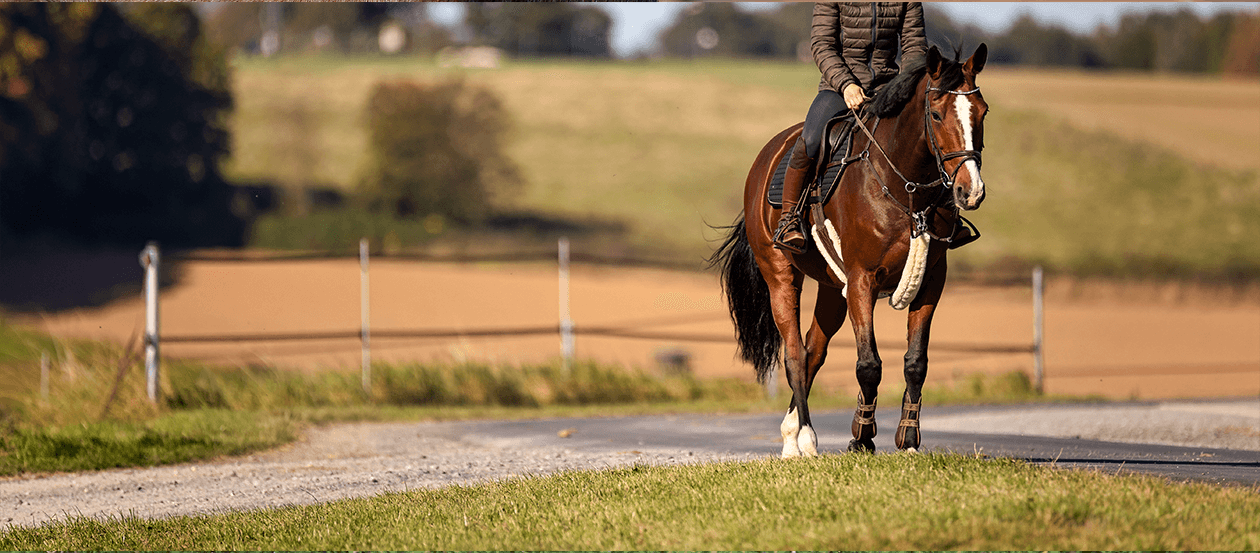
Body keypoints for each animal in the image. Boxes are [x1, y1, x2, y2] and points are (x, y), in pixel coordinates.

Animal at [715, 45, 987, 456]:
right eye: (937, 114)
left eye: (982, 112)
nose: (970, 191)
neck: (904, 188)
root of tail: (767, 156)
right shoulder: (862, 280)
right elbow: (868, 365)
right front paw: (861, 437)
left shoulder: (930, 283)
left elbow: (915, 362)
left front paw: (908, 438)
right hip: (781, 274)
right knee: (794, 355)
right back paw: (804, 438)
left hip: (832, 290)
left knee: (813, 352)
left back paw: (792, 434)